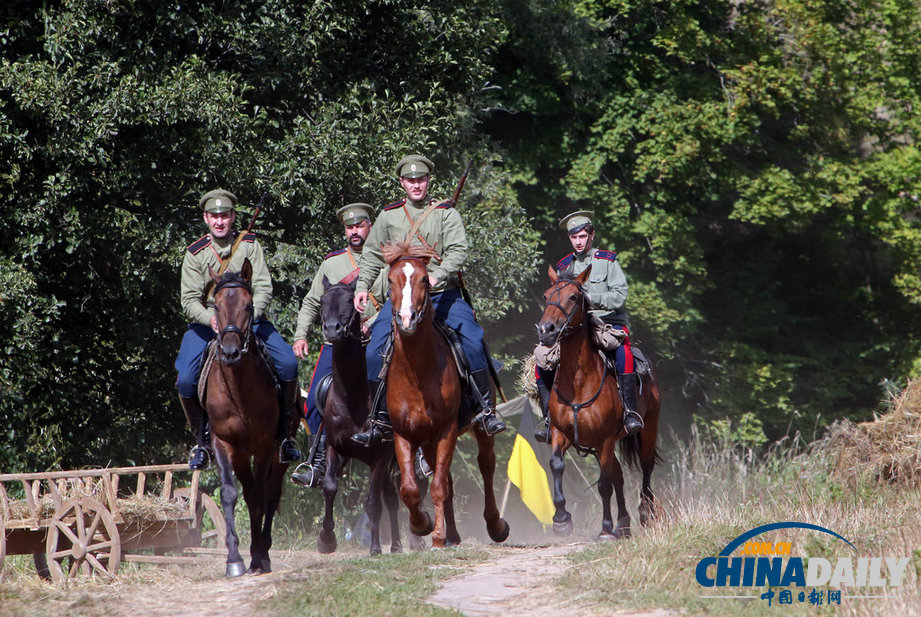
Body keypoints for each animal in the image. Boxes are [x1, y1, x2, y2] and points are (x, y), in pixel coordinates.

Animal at [205, 258, 298, 576]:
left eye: (248, 305)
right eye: (217, 305)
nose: (231, 352)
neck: (238, 389)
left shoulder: (265, 446)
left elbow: (259, 498)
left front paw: (258, 556)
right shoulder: (223, 444)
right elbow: (229, 494)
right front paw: (234, 559)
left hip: (278, 455)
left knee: (270, 494)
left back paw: (264, 548)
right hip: (241, 456)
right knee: (247, 492)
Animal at [314, 276, 412, 556]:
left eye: (350, 300)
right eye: (323, 300)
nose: (333, 329)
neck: (351, 400)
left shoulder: (379, 458)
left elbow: (372, 503)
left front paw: (376, 547)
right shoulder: (334, 448)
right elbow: (329, 486)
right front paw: (326, 539)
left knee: (389, 497)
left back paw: (400, 544)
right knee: (390, 496)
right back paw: (396, 544)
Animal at [382, 243, 510, 548]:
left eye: (424, 280)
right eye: (391, 280)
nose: (406, 319)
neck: (417, 371)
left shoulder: (447, 429)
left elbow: (439, 486)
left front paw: (437, 536)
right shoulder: (403, 434)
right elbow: (410, 489)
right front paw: (422, 525)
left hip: (479, 429)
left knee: (486, 466)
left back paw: (494, 526)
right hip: (427, 442)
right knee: (447, 479)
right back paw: (452, 534)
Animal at [536, 264, 656, 540]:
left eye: (573, 297)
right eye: (546, 296)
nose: (546, 330)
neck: (579, 381)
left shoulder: (605, 440)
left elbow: (603, 485)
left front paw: (605, 529)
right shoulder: (559, 433)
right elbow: (556, 465)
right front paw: (561, 519)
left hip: (648, 430)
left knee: (645, 468)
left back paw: (645, 513)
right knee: (619, 476)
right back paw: (623, 523)